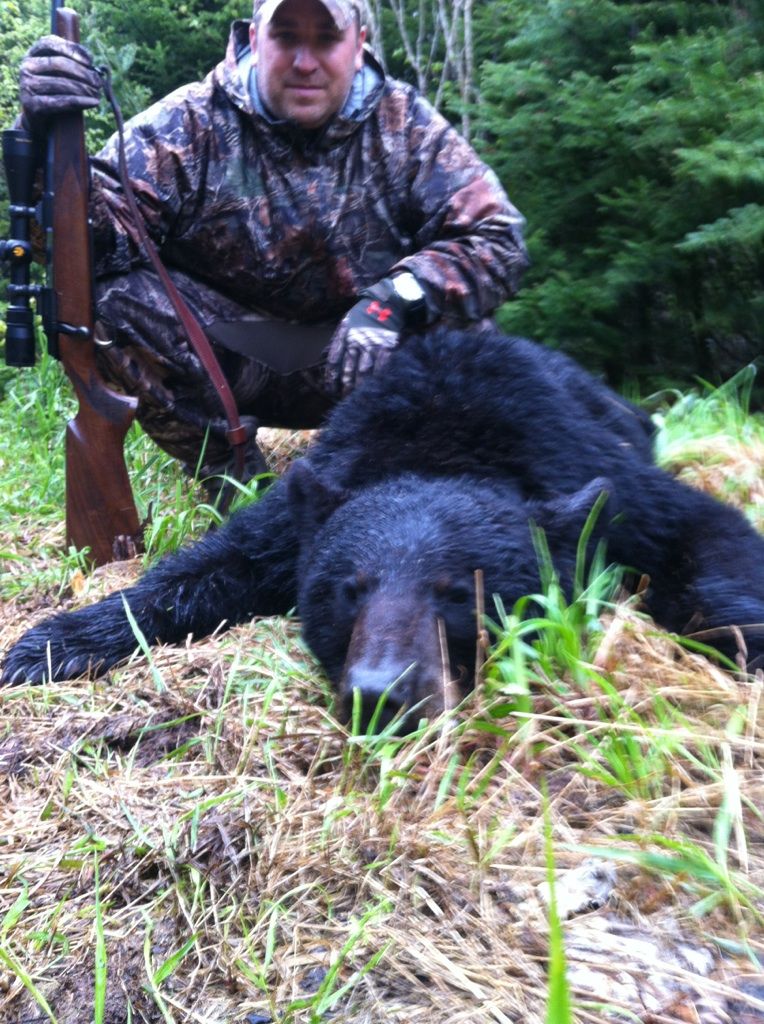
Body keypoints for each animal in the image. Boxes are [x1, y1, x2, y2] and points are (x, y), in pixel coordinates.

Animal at [3, 325, 763, 731]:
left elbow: (704, 531)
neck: (442, 443)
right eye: (348, 589)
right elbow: (204, 569)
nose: (380, 694)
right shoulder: (309, 499)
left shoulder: (592, 469)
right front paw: (48, 645)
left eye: (461, 592)